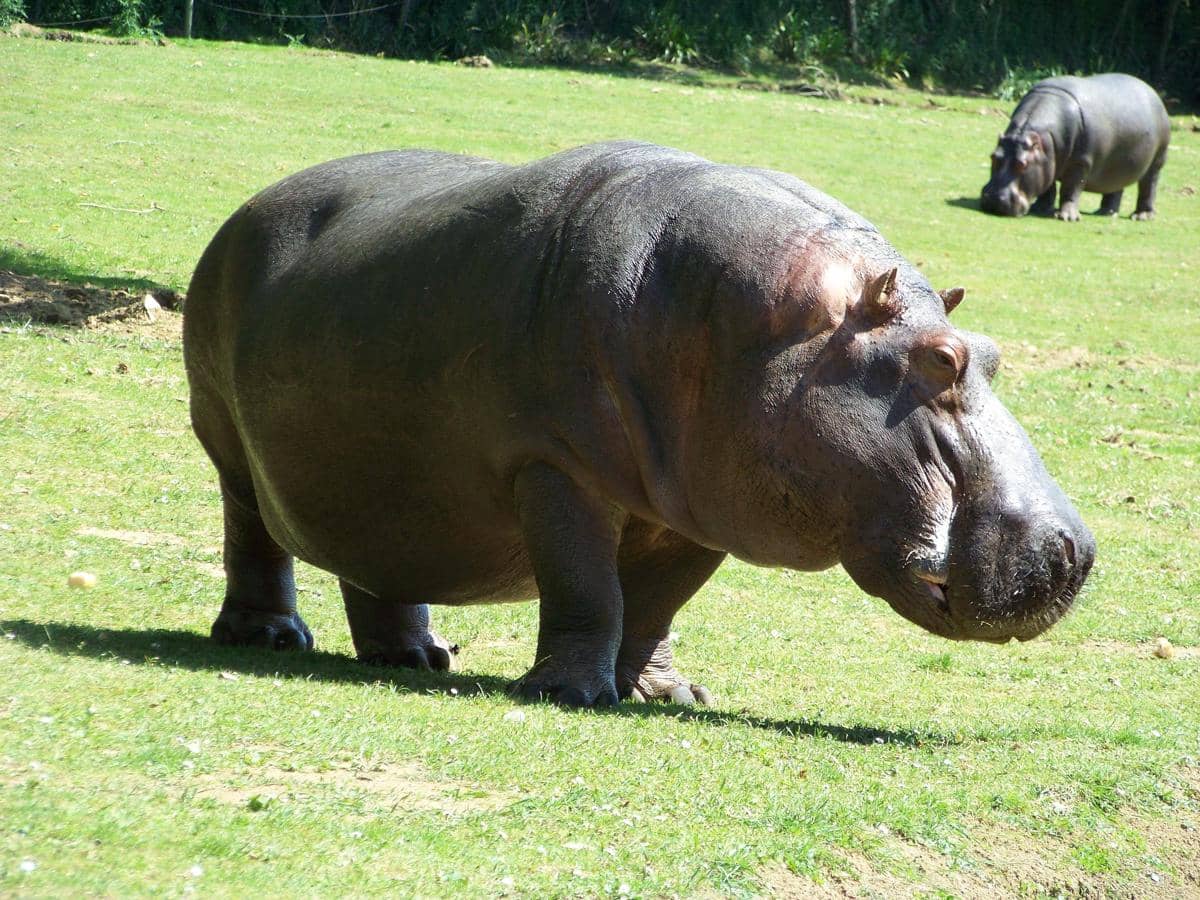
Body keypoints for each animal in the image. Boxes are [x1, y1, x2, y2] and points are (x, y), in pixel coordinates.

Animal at [184, 141, 1095, 708]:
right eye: (941, 359)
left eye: (993, 353)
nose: (1076, 552)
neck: (763, 331)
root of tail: (245, 207)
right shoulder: (554, 467)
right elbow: (588, 585)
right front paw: (567, 693)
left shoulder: (698, 507)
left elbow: (657, 604)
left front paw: (668, 694)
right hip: (223, 439)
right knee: (252, 534)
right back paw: (269, 639)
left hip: (380, 477)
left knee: (378, 560)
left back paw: (417, 657)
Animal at [980, 73, 1169, 221]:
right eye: (993, 157)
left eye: (1022, 164)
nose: (994, 200)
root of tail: (1153, 92)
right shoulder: (1048, 161)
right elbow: (1048, 188)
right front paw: (1040, 209)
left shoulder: (1080, 162)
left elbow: (1071, 188)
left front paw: (1066, 217)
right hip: (1118, 164)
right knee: (1115, 187)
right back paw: (1105, 212)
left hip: (1156, 162)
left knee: (1149, 186)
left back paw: (1142, 216)